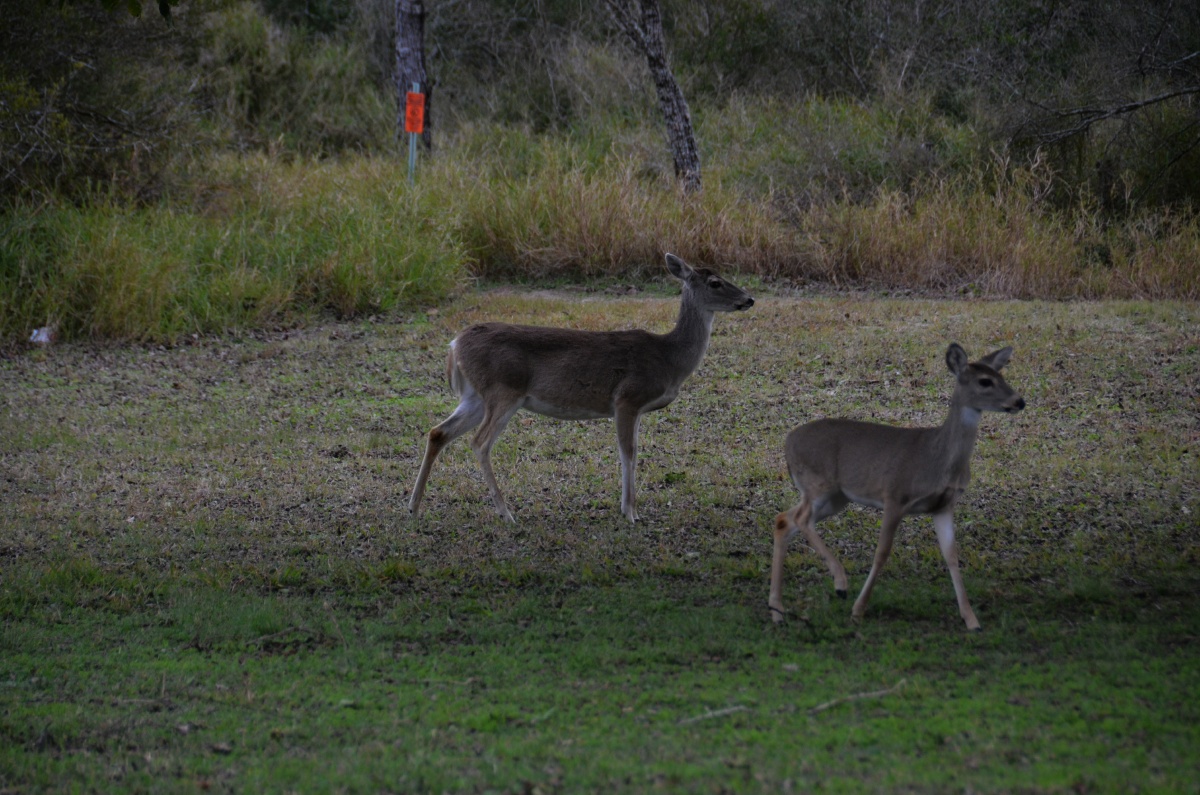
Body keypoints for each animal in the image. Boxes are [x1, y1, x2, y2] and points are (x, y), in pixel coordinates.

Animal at [408, 255, 753, 525]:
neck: (669, 357)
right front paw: (631, 512)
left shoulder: (635, 408)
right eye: (715, 282)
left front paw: (628, 508)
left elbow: (633, 452)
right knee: (480, 442)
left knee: (438, 432)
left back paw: (413, 505)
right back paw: (506, 513)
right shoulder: (627, 398)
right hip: (503, 390)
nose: (749, 299)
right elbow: (628, 452)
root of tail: (455, 344)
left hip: (476, 396)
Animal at [772, 345, 1027, 634]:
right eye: (985, 381)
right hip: (819, 483)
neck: (938, 460)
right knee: (801, 519)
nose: (1019, 401)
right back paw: (840, 584)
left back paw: (777, 612)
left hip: (835, 497)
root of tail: (787, 443)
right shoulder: (895, 495)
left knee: (784, 520)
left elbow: (951, 556)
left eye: (1001, 375)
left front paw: (972, 621)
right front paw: (858, 611)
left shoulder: (943, 506)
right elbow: (882, 552)